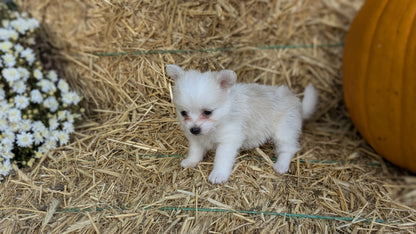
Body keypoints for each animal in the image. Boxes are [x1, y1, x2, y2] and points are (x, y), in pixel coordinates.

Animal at [167, 64, 316, 185]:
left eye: (207, 112)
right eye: (183, 113)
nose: (194, 129)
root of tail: (298, 104)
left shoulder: (228, 141)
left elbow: (221, 159)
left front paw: (218, 174)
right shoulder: (196, 140)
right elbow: (195, 152)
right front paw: (190, 161)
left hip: (284, 131)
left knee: (288, 148)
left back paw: (281, 165)